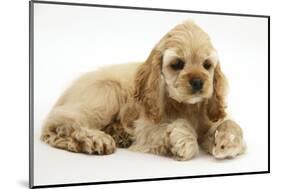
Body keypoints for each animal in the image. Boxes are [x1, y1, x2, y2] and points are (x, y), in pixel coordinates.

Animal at [41, 20, 245, 159]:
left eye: (207, 65)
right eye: (177, 64)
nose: (198, 82)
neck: (187, 106)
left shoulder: (210, 119)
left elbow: (229, 123)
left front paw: (228, 141)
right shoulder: (146, 128)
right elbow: (177, 125)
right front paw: (185, 142)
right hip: (106, 94)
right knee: (59, 121)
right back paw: (94, 139)